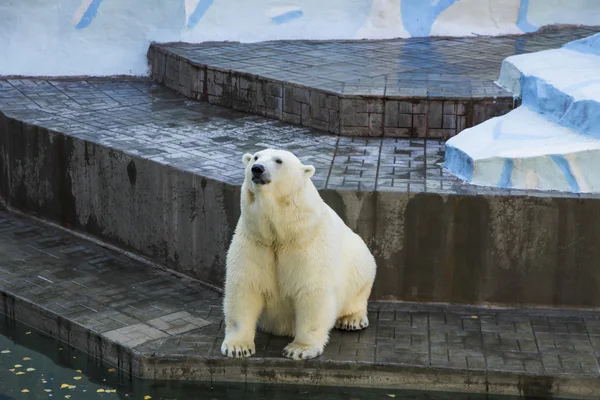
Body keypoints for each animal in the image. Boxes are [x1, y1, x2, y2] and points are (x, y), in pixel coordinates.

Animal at [220, 148, 378, 360]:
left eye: (278, 160)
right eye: (255, 157)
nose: (257, 169)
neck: (281, 234)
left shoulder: (306, 244)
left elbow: (311, 291)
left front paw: (299, 349)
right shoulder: (255, 241)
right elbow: (245, 287)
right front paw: (237, 347)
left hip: (360, 263)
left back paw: (351, 319)